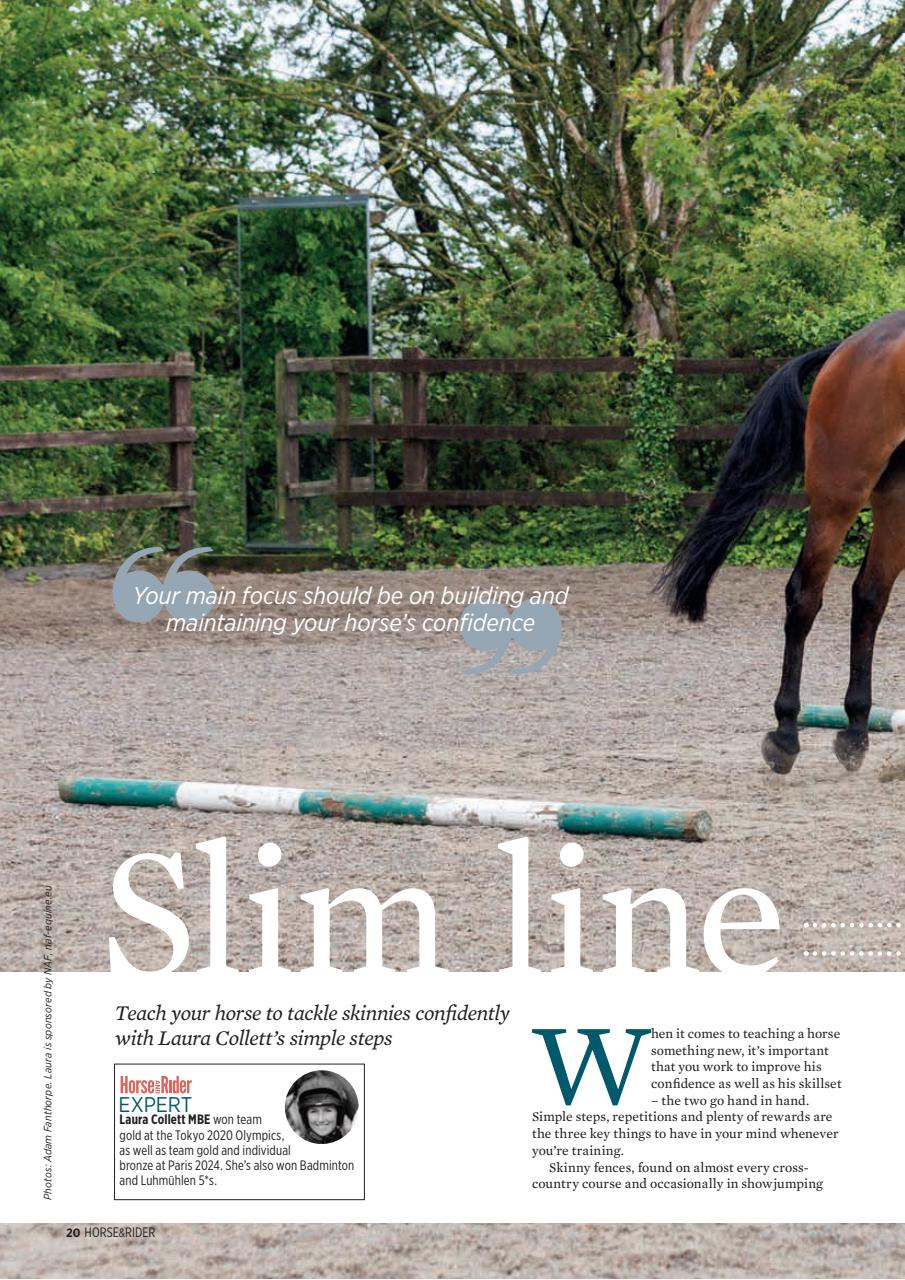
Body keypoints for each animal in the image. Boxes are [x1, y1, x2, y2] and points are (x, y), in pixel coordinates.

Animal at [658, 310, 905, 774]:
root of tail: (852, 345)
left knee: (870, 595)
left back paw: (855, 730)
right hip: (840, 491)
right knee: (806, 595)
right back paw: (787, 733)